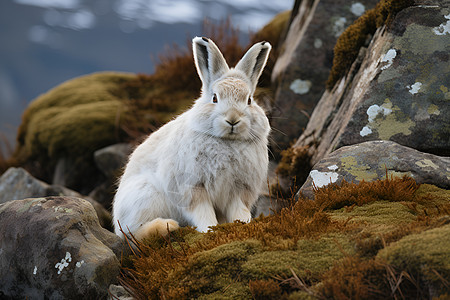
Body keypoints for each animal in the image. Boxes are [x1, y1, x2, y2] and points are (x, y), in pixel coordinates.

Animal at [112, 37, 270, 239]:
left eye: (249, 100)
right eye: (215, 98)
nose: (233, 119)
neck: (227, 141)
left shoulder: (239, 190)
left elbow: (238, 211)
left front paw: (244, 225)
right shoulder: (192, 188)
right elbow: (202, 211)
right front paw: (209, 230)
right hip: (145, 196)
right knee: (132, 234)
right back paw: (166, 226)